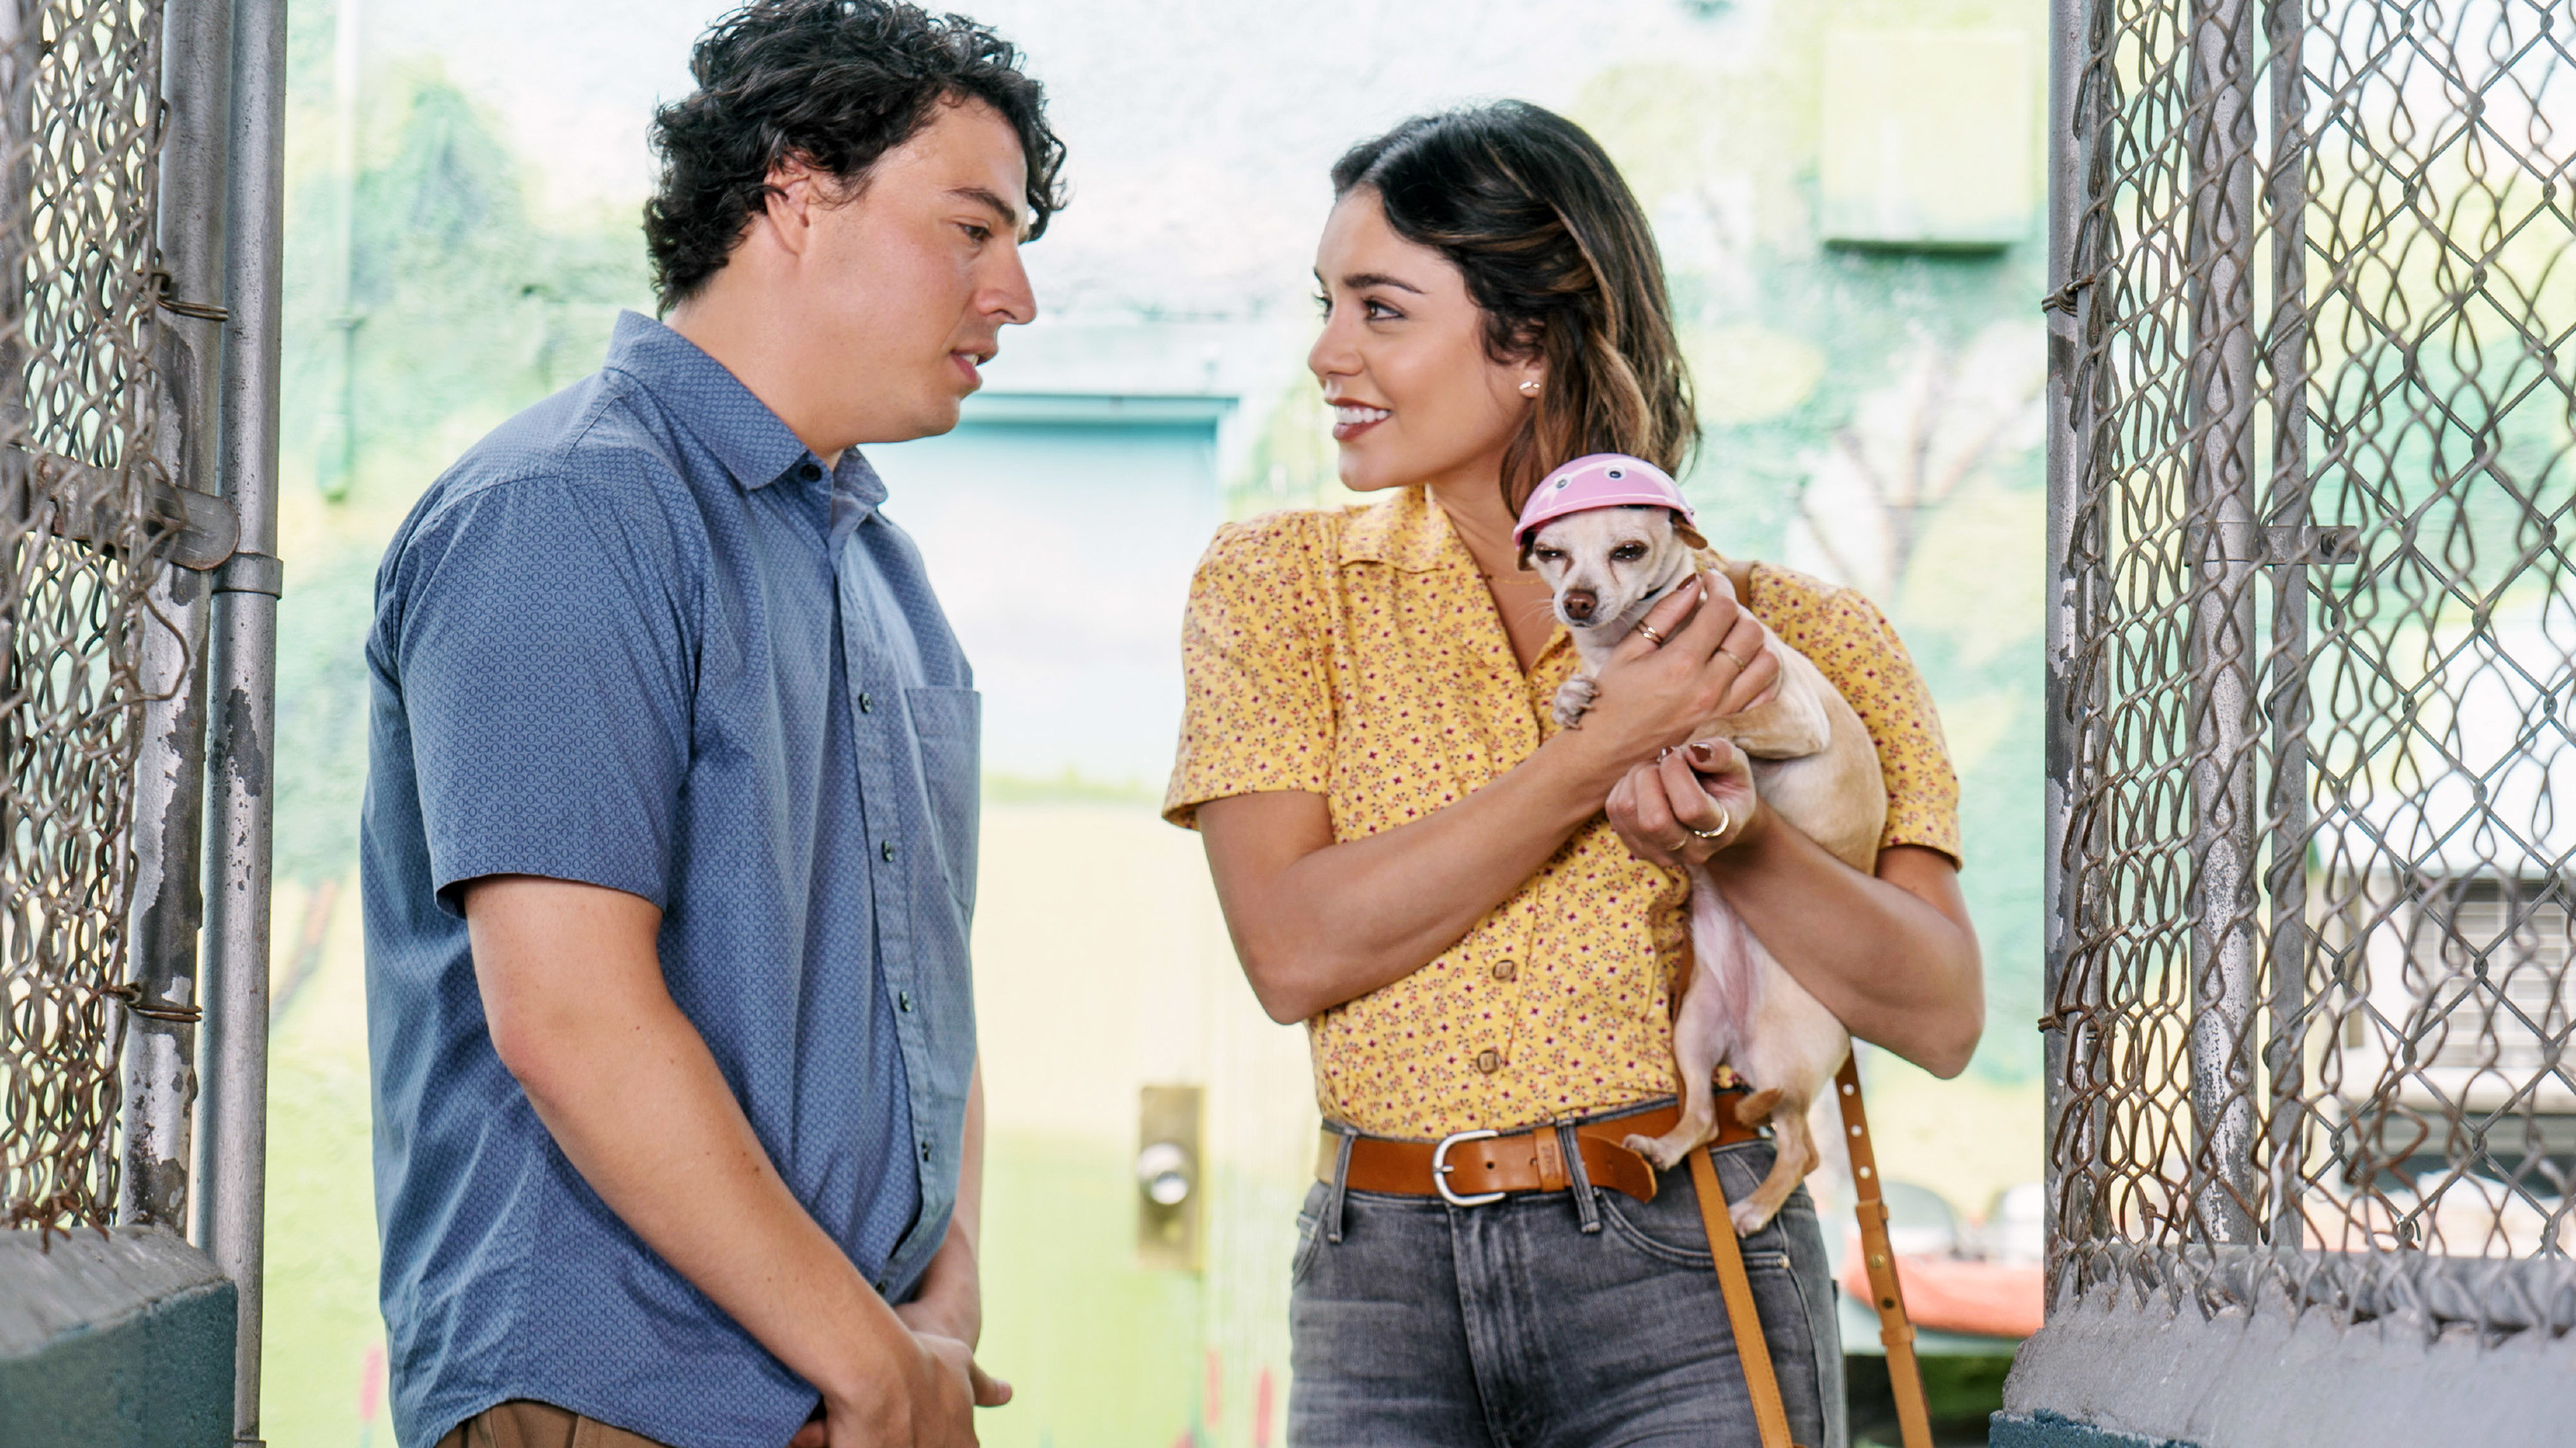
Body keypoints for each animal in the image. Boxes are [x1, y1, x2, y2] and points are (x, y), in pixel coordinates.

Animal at [1515, 461, 1886, 1226]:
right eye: (1551, 553)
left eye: (1628, 550)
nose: (1578, 602)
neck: (1623, 645)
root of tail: (1740, 1040)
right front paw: (1573, 699)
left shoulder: (1790, 717)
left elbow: (1710, 717)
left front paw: (1679, 735)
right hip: (1691, 1032)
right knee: (1706, 1119)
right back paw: (1663, 1150)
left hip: (1783, 1056)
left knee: (1801, 1149)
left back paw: (1751, 1211)